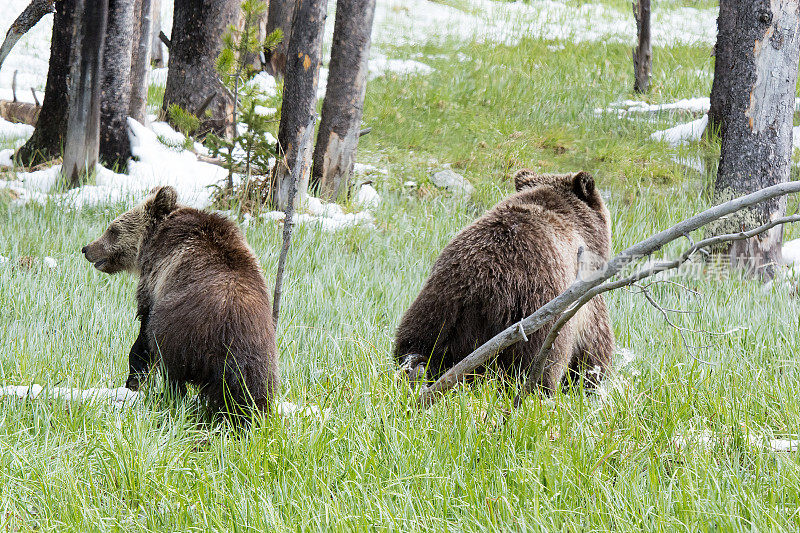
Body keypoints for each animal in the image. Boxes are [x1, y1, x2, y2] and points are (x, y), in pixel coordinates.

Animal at [81, 185, 280, 414]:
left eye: (113, 229)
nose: (87, 248)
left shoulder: (154, 280)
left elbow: (143, 331)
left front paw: (134, 380)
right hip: (261, 355)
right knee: (252, 391)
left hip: (179, 332)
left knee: (171, 370)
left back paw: (165, 396)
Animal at [396, 170, 616, 390]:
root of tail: (478, 290)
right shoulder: (581, 288)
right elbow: (594, 343)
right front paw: (591, 380)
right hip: (535, 309)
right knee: (540, 363)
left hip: (438, 304)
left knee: (415, 344)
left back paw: (416, 369)